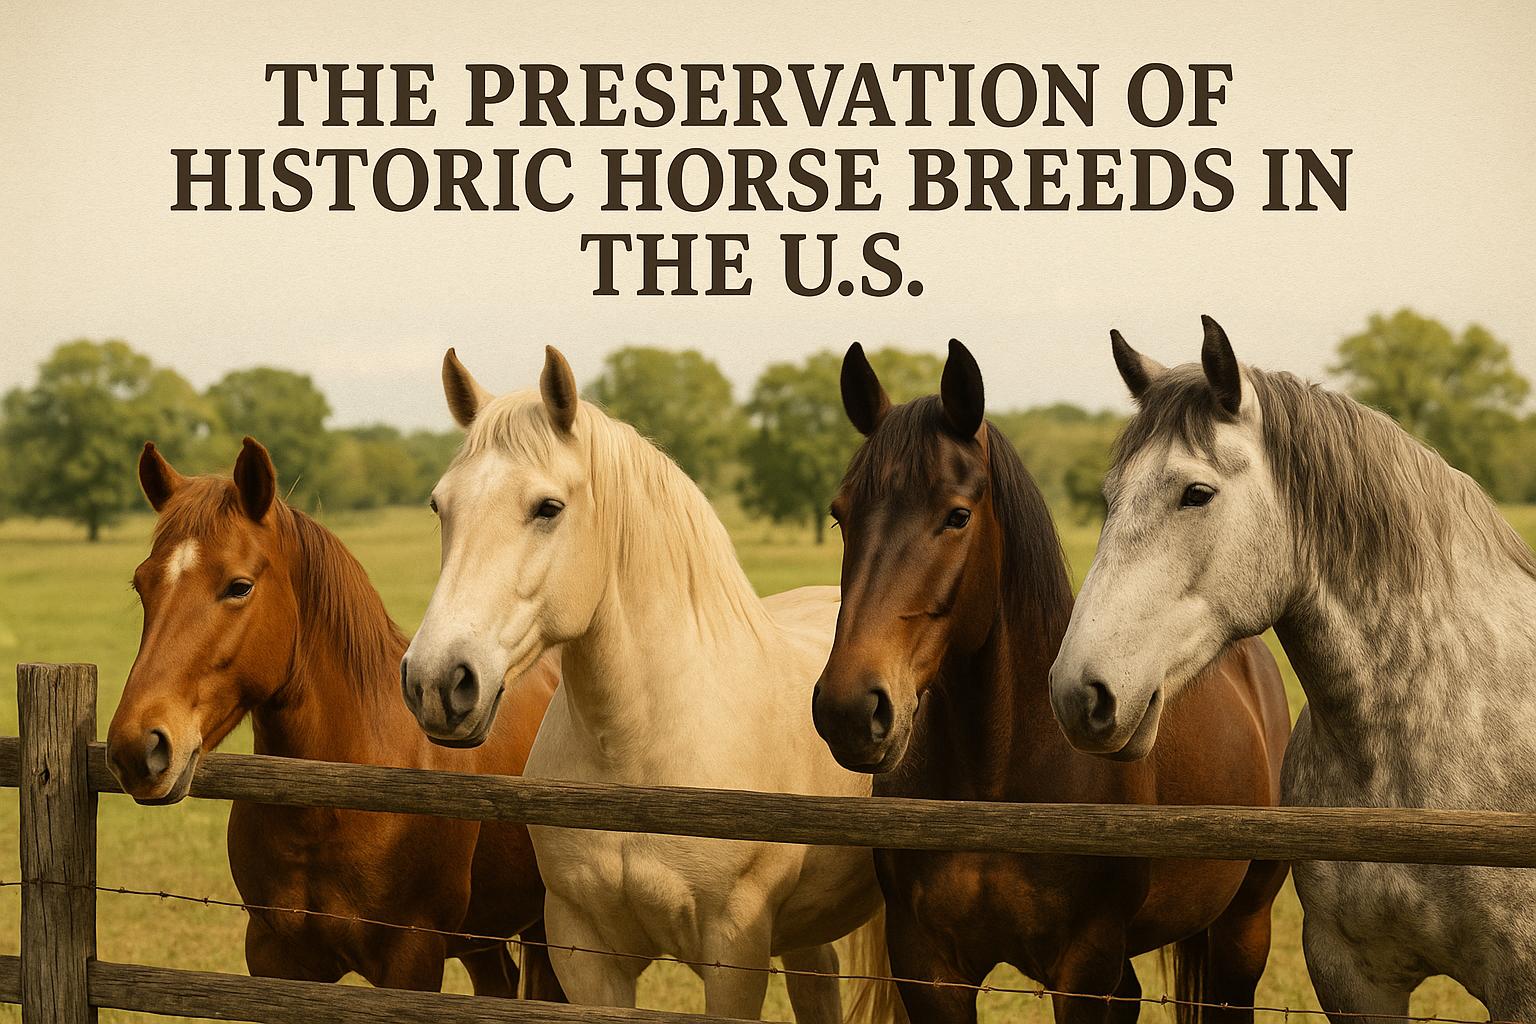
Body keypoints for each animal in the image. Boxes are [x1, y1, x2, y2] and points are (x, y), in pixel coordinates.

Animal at [398, 347, 891, 1023]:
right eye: (439, 506)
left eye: (547, 507)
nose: (436, 681)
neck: (638, 749)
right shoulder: (583, 951)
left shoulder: (733, 956)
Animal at [812, 340, 1291, 1024]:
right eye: (840, 516)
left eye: (957, 516)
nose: (849, 709)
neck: (998, 780)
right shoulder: (928, 969)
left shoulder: (1084, 970)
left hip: (1242, 931)